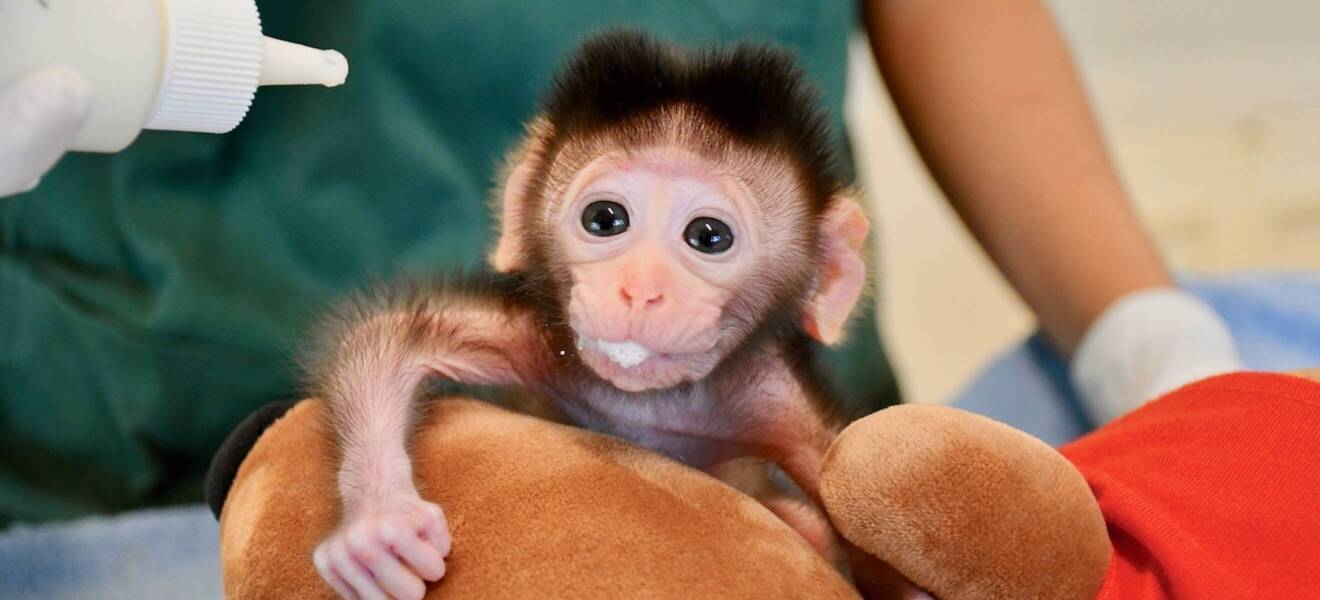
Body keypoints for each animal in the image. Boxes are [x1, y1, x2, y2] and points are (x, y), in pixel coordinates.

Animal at [306, 30, 875, 600]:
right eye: (605, 219)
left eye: (709, 236)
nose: (639, 290)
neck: (644, 406)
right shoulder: (542, 336)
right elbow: (392, 341)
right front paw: (376, 527)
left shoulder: (772, 398)